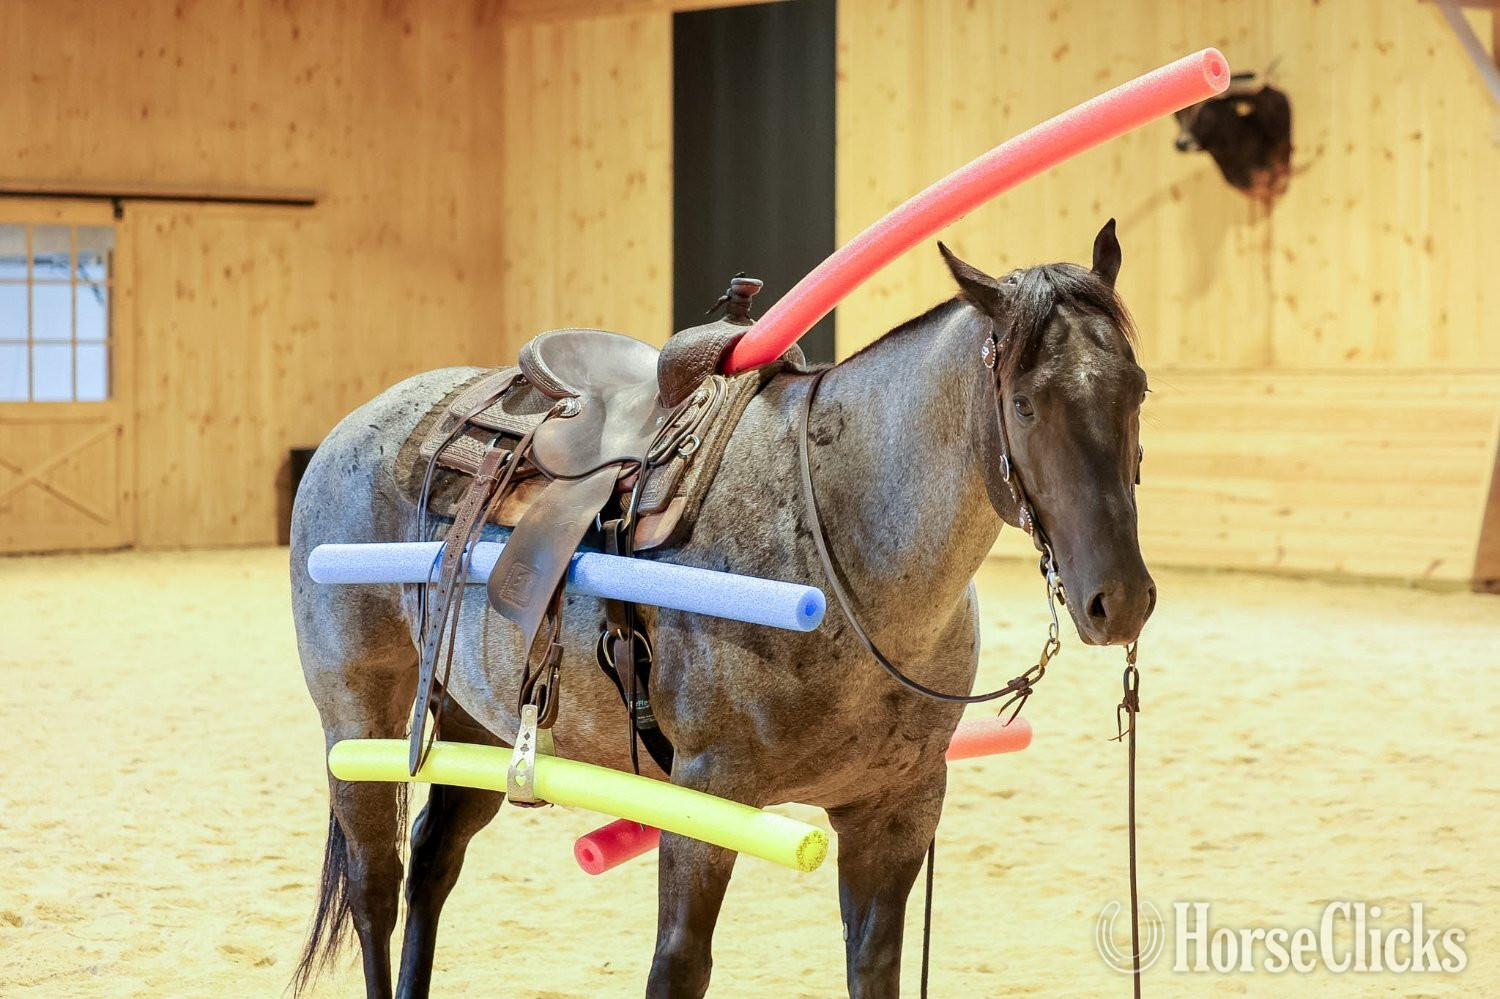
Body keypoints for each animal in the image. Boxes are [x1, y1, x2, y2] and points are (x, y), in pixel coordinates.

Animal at [288, 220, 1156, 999]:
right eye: (1025, 403)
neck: (841, 536)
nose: (1120, 599)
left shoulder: (899, 808)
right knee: (374, 886)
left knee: (432, 865)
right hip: (353, 719)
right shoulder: (707, 801)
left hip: (476, 716)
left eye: (1139, 390)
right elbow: (679, 967)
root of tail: (346, 430)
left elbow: (873, 966)